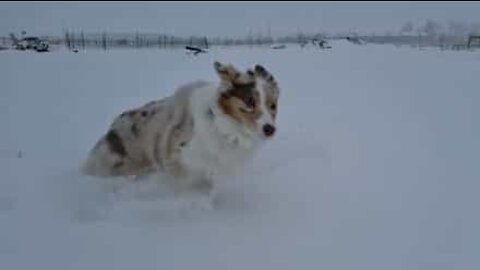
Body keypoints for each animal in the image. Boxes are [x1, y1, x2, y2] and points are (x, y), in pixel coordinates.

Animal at [80, 61, 280, 207]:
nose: (270, 129)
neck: (223, 126)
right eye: (250, 102)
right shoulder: (180, 160)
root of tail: (109, 133)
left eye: (272, 105)